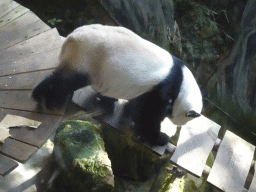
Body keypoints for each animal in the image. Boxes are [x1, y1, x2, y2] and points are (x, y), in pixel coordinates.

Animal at [32, 24, 204, 146]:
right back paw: (49, 100)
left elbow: (138, 106)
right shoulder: (164, 88)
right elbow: (149, 114)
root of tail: (70, 37)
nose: (176, 124)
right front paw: (160, 138)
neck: (182, 83)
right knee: (66, 82)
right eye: (185, 121)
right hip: (87, 57)